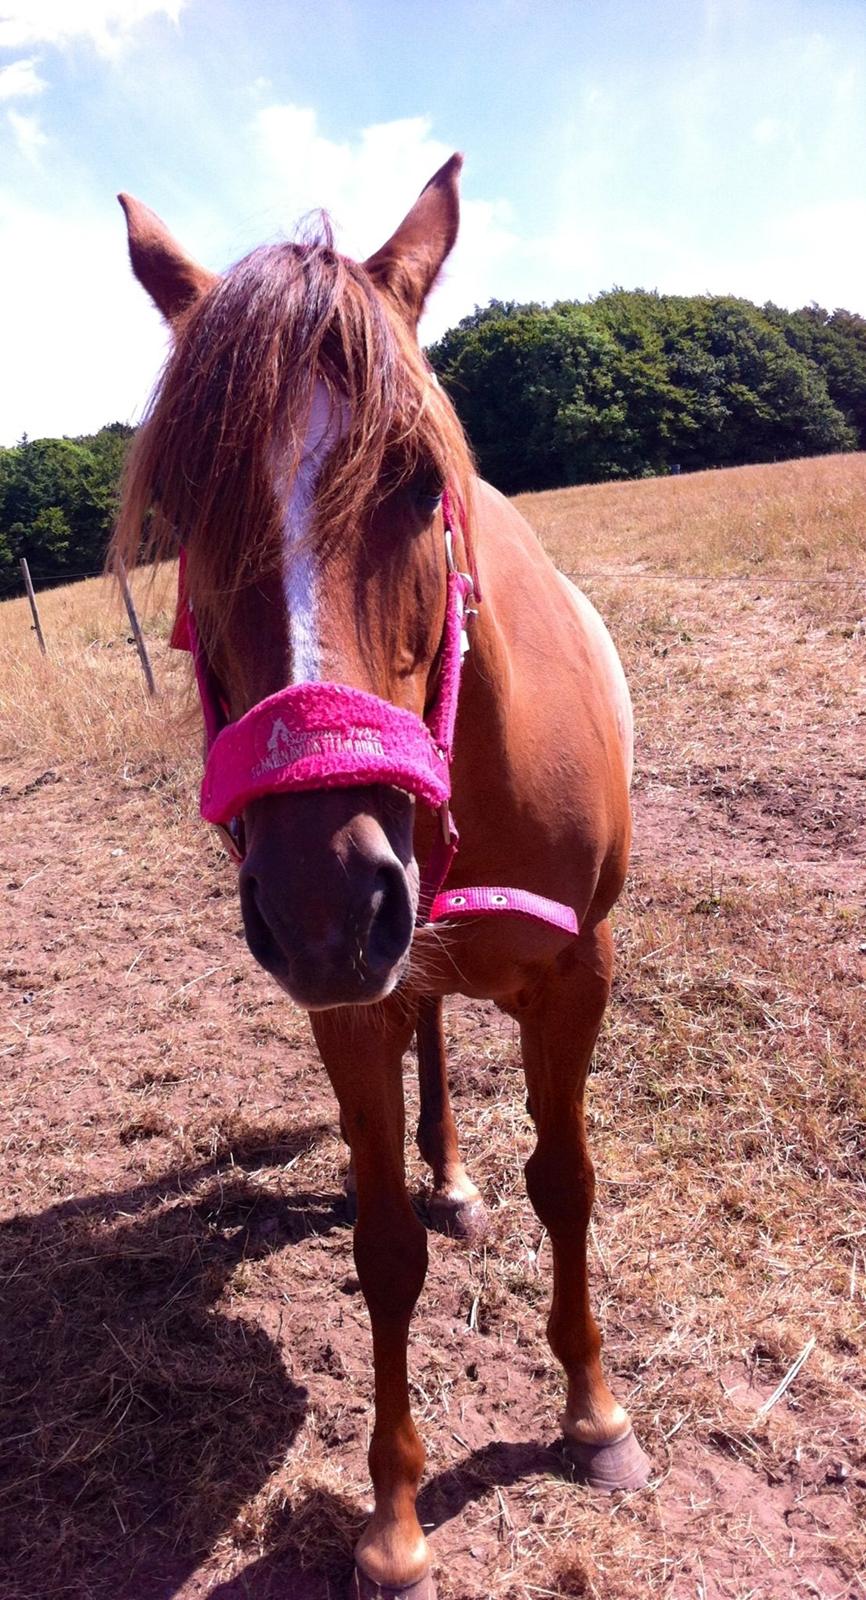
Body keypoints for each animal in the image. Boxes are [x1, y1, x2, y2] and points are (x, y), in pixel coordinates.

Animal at [114, 154, 649, 1600]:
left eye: (418, 483)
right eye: (180, 509)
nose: (322, 902)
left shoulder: (575, 973)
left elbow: (566, 1182)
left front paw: (593, 1416)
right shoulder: (347, 1006)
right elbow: (382, 1246)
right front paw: (397, 1517)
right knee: (425, 1043)